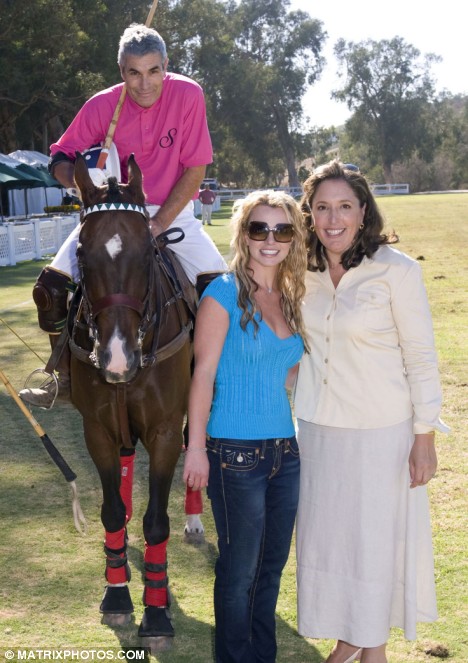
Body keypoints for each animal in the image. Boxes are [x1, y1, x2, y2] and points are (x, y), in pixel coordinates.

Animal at [69, 154, 194, 644]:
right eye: (81, 254)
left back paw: (195, 521)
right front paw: (117, 592)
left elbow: (155, 521)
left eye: (148, 252)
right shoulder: (97, 429)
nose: (117, 359)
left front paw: (156, 613)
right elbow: (111, 511)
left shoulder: (164, 431)